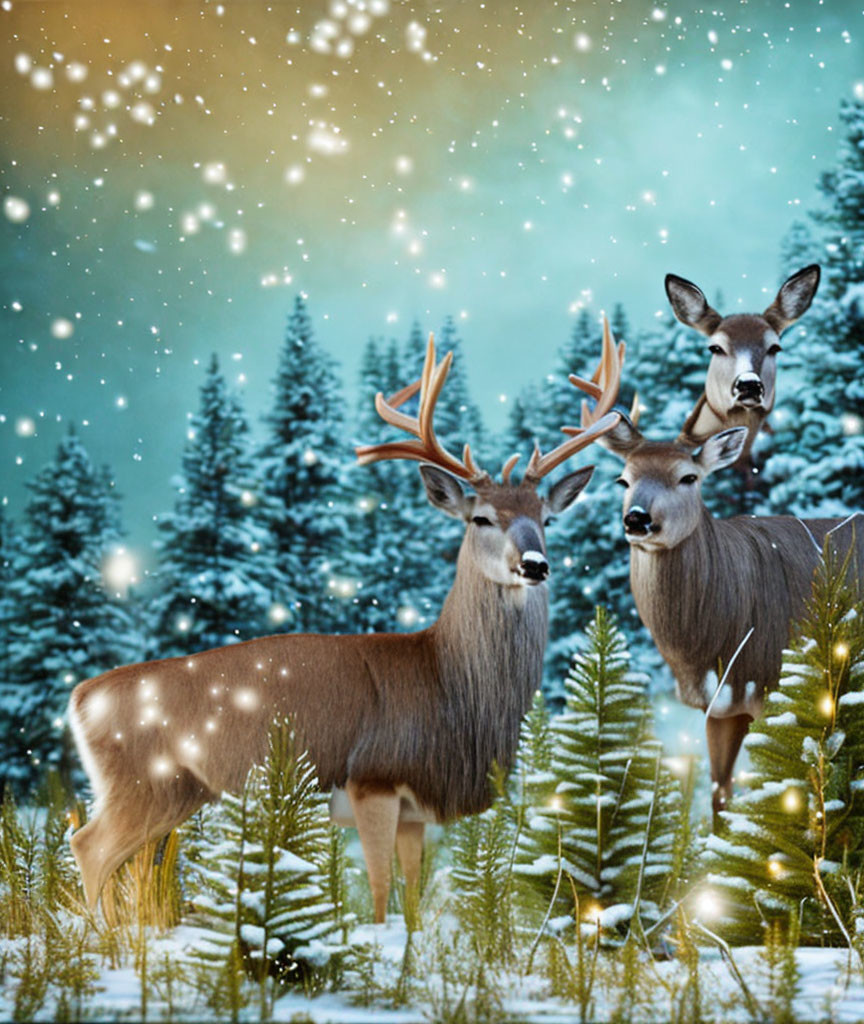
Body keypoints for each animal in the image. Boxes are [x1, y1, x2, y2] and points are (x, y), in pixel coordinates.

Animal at [67, 331, 622, 925]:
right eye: (481, 518)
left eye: (547, 519)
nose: (535, 564)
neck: (446, 684)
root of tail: (79, 698)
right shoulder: (372, 778)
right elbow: (379, 892)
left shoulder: (413, 808)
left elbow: (411, 894)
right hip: (140, 783)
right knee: (89, 847)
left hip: (175, 792)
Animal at [565, 315, 859, 819]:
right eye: (623, 479)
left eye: (689, 477)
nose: (637, 518)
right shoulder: (719, 706)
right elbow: (721, 797)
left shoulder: (778, 688)